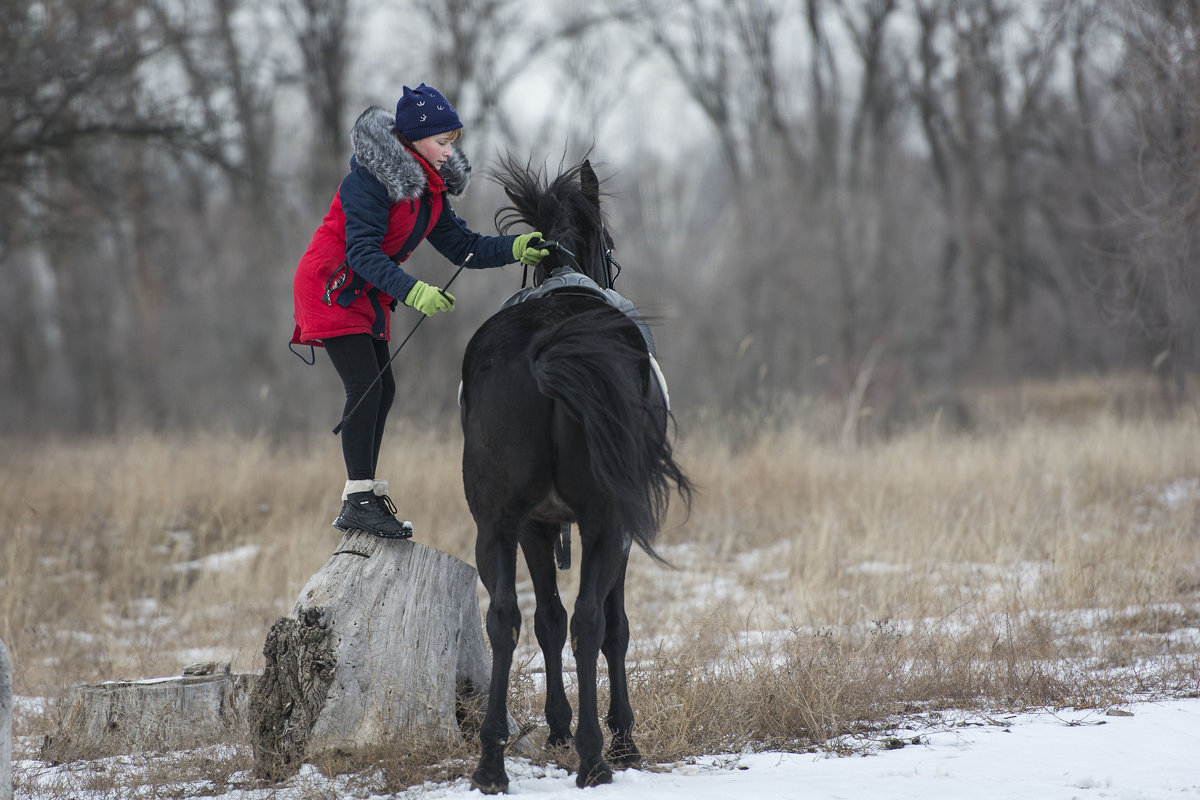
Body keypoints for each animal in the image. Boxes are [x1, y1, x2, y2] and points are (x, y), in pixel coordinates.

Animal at [460, 158, 696, 796]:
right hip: (603, 517)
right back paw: (597, 757)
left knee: (504, 619)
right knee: (593, 621)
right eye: (609, 241)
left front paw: (558, 727)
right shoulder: (613, 525)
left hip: (496, 521)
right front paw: (618, 734)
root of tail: (546, 342)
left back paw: (491, 761)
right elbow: (611, 626)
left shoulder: (536, 525)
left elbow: (546, 619)